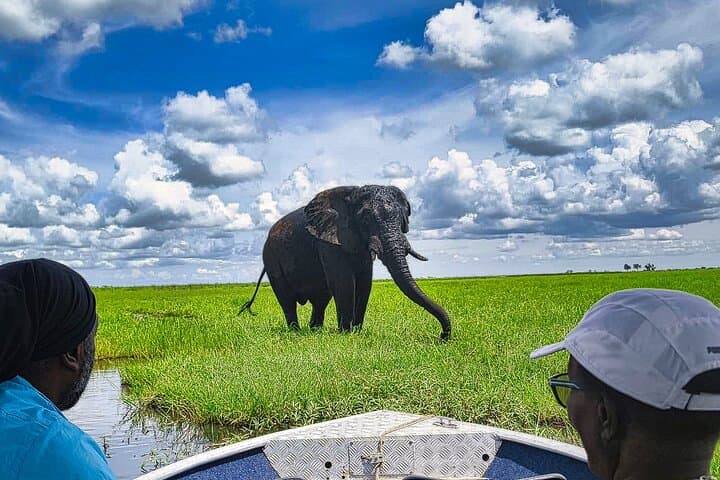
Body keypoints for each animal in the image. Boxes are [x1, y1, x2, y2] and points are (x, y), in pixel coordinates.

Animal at [240, 185, 451, 340]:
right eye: (365, 219)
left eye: (402, 219)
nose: (442, 336)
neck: (352, 194)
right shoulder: (329, 239)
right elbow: (344, 282)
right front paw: (347, 334)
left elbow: (364, 282)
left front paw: (356, 332)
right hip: (271, 258)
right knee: (287, 299)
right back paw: (296, 332)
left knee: (321, 299)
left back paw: (315, 330)